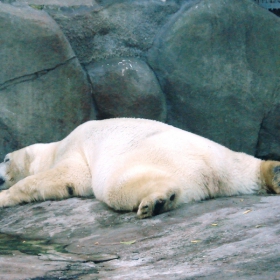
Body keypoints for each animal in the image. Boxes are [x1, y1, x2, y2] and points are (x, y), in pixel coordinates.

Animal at [0, 118, 280, 219]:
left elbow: (68, 176)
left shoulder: (73, 149)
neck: (54, 147)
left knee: (117, 185)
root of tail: (210, 172)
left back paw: (155, 201)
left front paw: (4, 197)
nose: (0, 178)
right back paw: (274, 173)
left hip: (151, 156)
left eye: (5, 158)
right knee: (247, 168)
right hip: (225, 158)